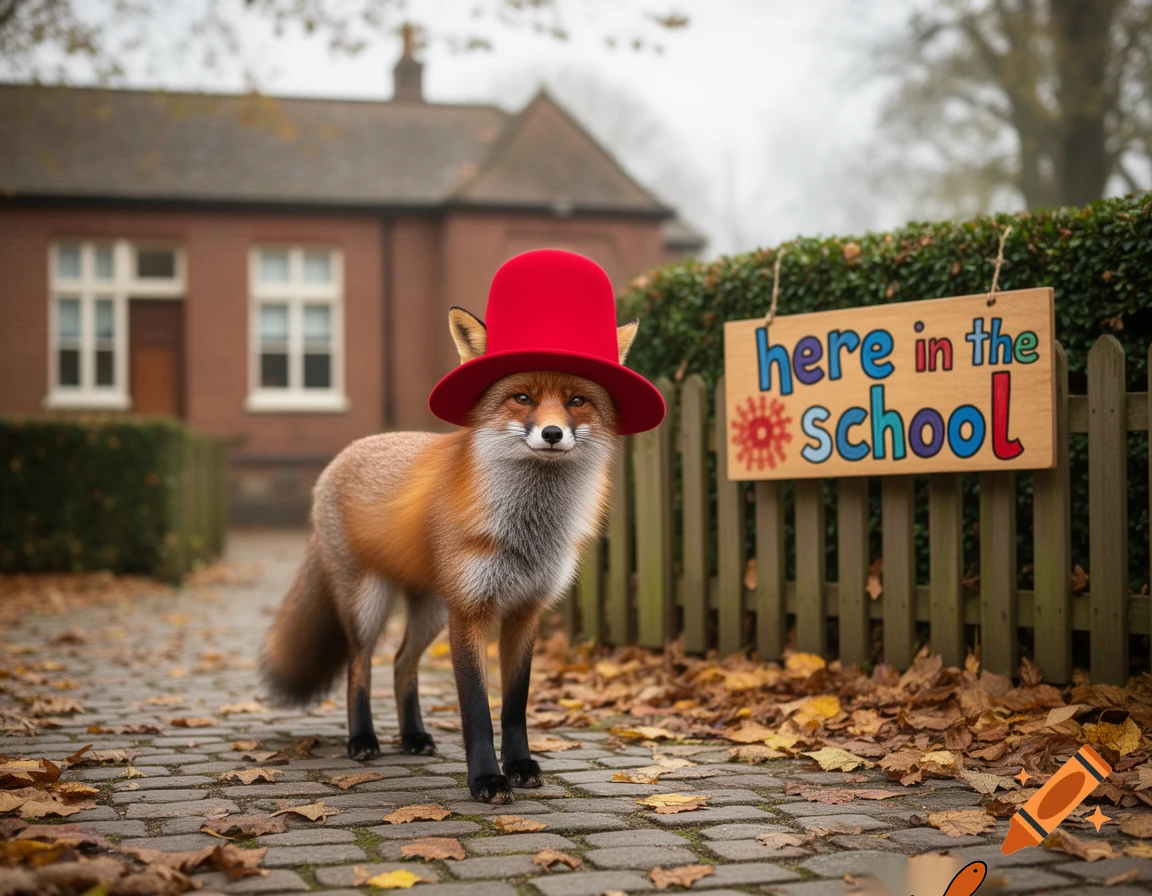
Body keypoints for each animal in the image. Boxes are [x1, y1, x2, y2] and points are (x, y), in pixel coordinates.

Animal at [260, 305, 639, 803]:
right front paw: (487, 780)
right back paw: (363, 740)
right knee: (359, 666)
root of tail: (345, 454)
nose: (553, 433)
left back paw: (414, 736)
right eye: (522, 397)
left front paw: (520, 765)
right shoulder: (470, 611)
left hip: (431, 611)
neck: (529, 531)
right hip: (369, 605)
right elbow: (477, 709)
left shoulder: (526, 611)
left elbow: (514, 705)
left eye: (577, 401)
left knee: (402, 664)